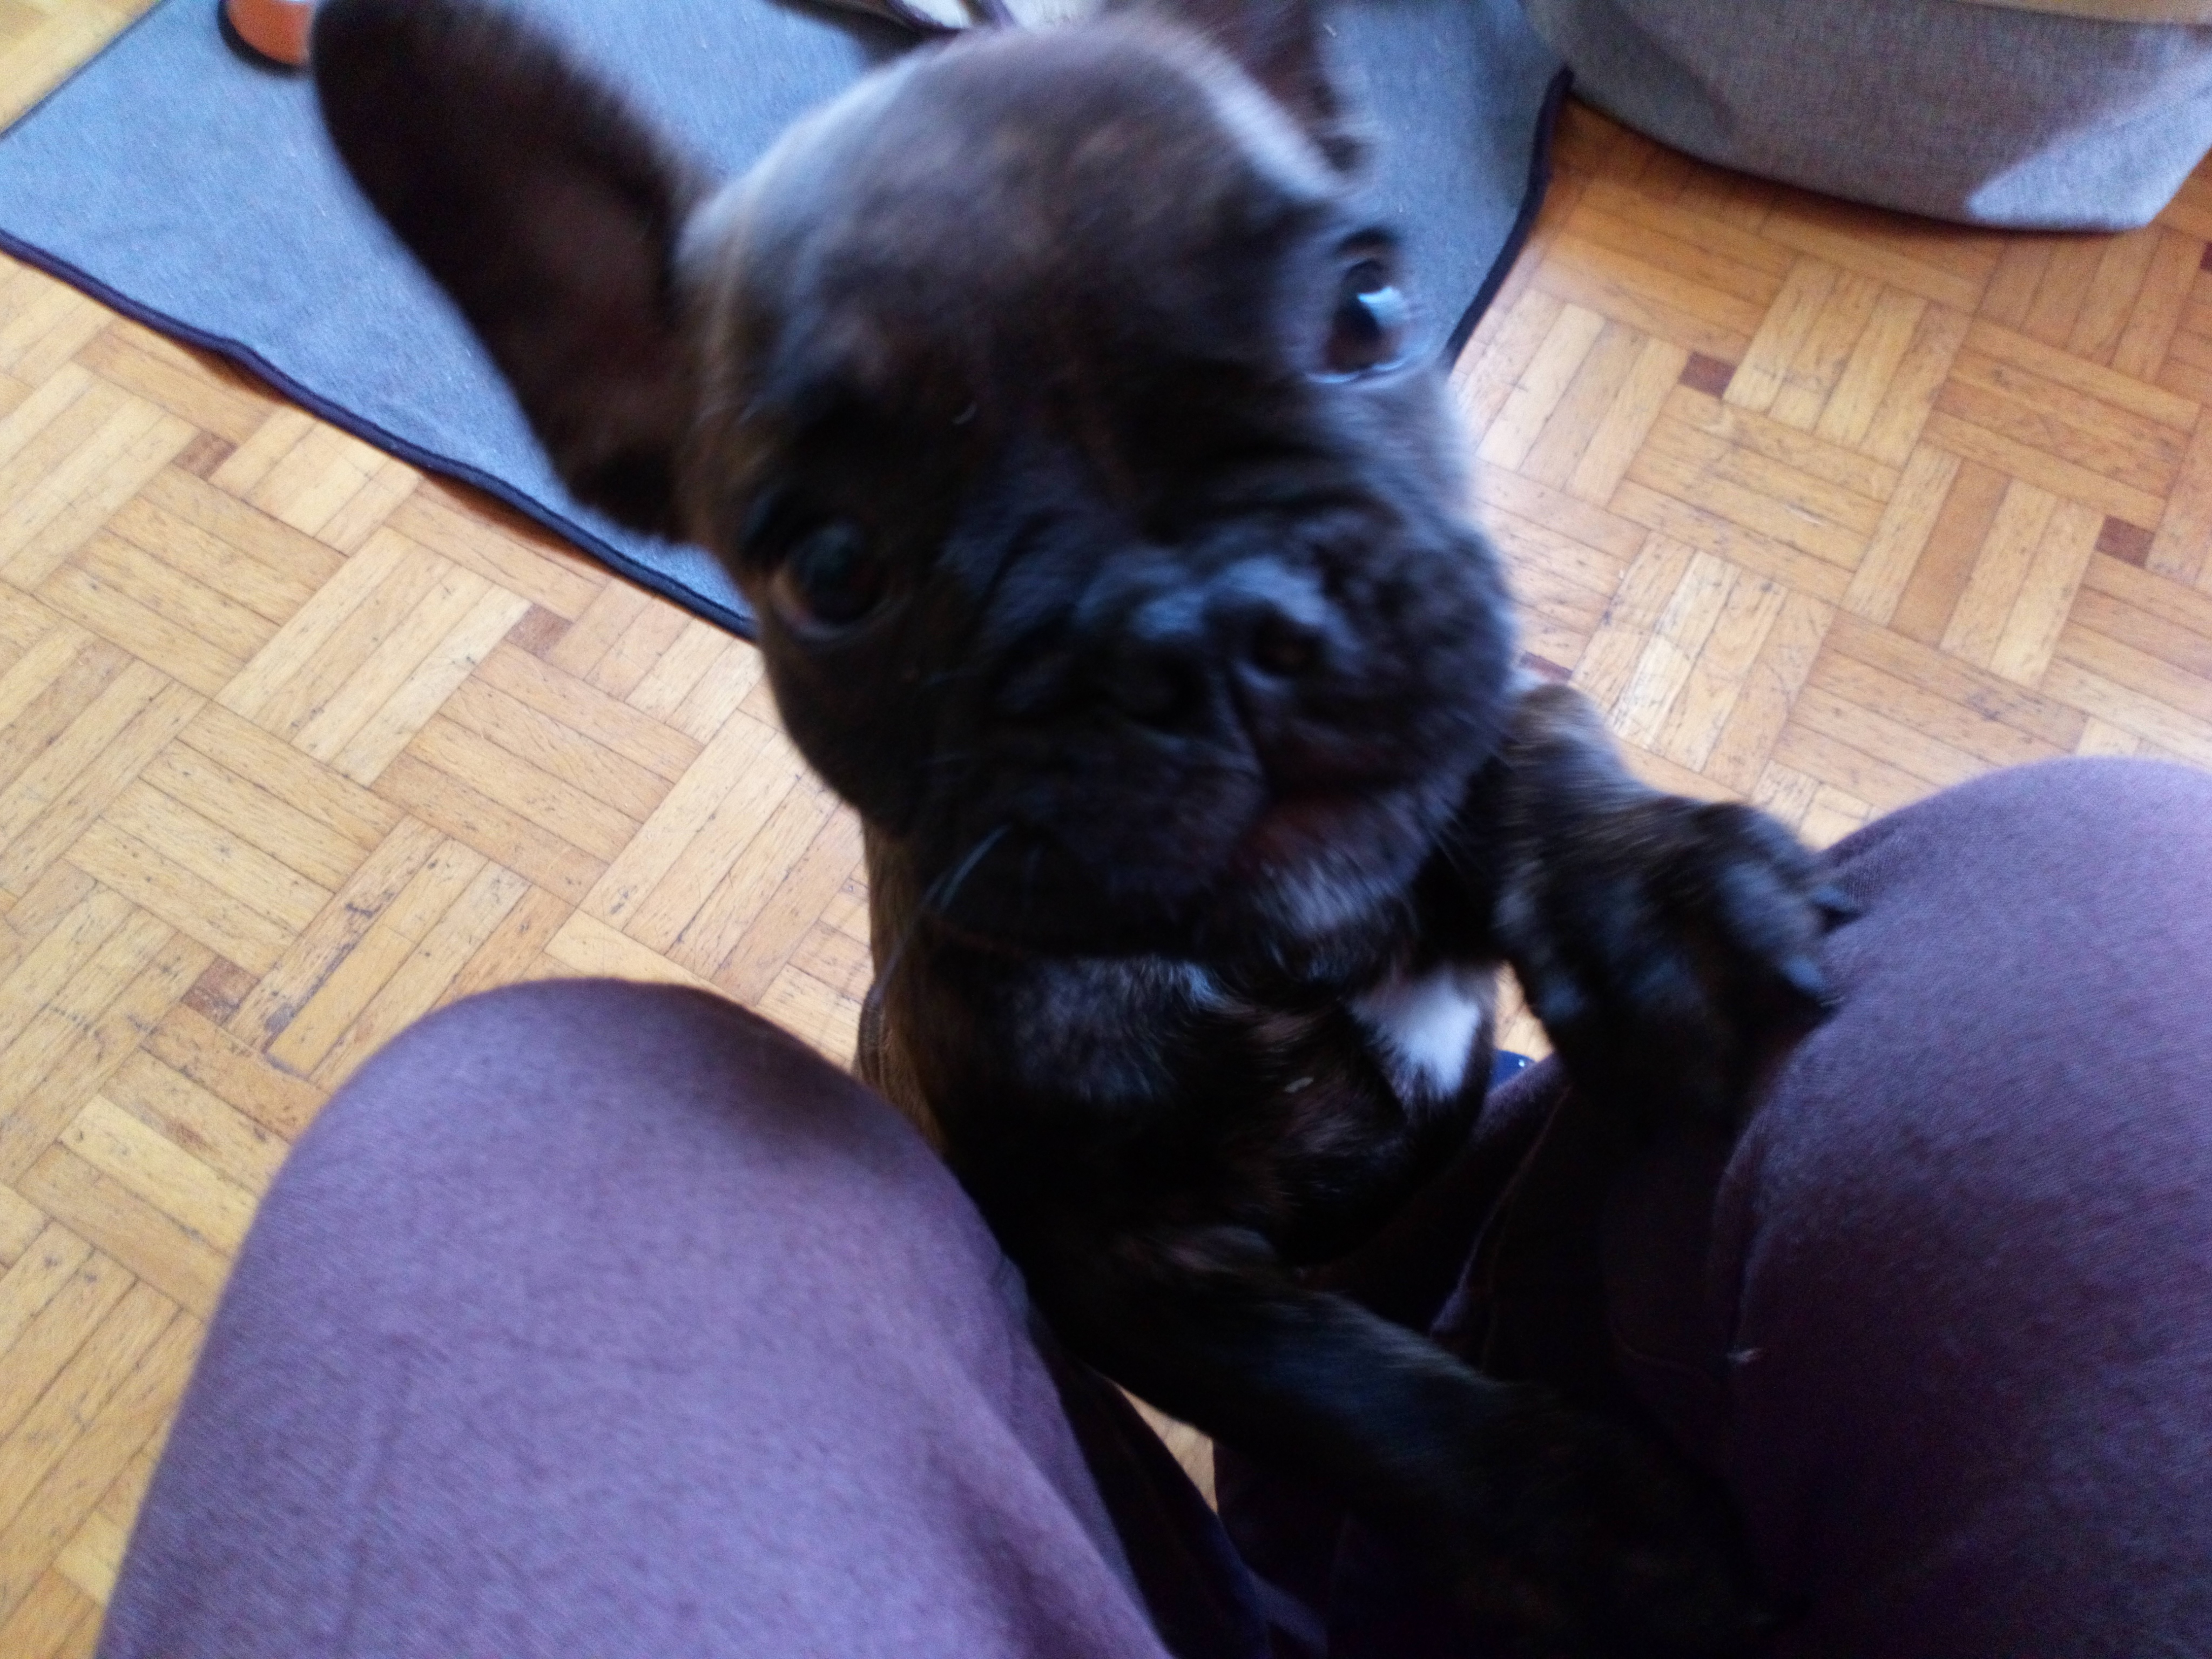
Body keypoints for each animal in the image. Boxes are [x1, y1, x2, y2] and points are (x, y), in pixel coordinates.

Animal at [313, 0, 1842, 1648]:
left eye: (1368, 306)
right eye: (833, 570)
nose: (1202, 623)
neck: (1271, 945)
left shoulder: (1474, 702)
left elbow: (1540, 727)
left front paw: (1656, 895)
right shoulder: (1136, 1278)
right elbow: (1356, 1397)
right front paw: (1602, 1527)